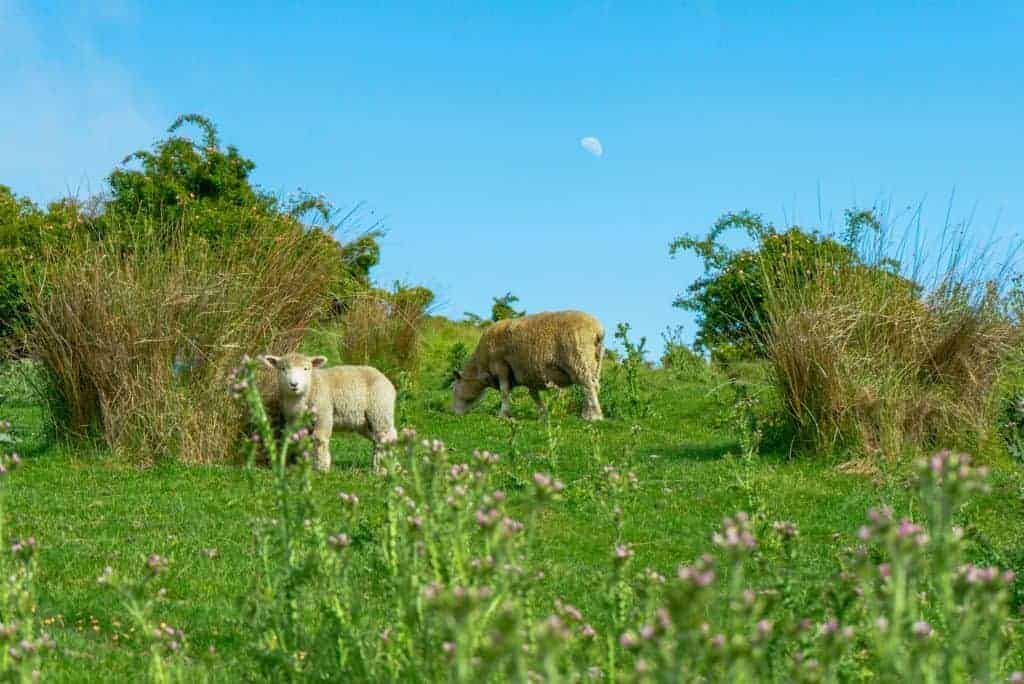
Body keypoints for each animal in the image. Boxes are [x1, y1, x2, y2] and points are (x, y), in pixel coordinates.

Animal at [258, 352, 397, 471]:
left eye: (306, 369)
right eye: (283, 368)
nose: (294, 384)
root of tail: (383, 376)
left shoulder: (323, 413)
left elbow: (319, 439)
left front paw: (321, 468)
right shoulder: (296, 421)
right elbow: (301, 442)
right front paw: (303, 466)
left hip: (379, 409)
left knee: (385, 436)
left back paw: (383, 469)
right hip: (363, 421)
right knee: (380, 438)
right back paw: (387, 465)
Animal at [452, 309, 602, 419]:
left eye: (453, 389)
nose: (453, 412)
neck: (482, 364)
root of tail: (598, 330)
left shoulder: (500, 365)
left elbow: (504, 392)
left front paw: (503, 414)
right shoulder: (528, 373)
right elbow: (533, 394)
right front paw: (543, 414)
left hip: (578, 359)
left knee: (588, 385)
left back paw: (593, 416)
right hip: (594, 362)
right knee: (592, 386)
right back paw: (587, 413)